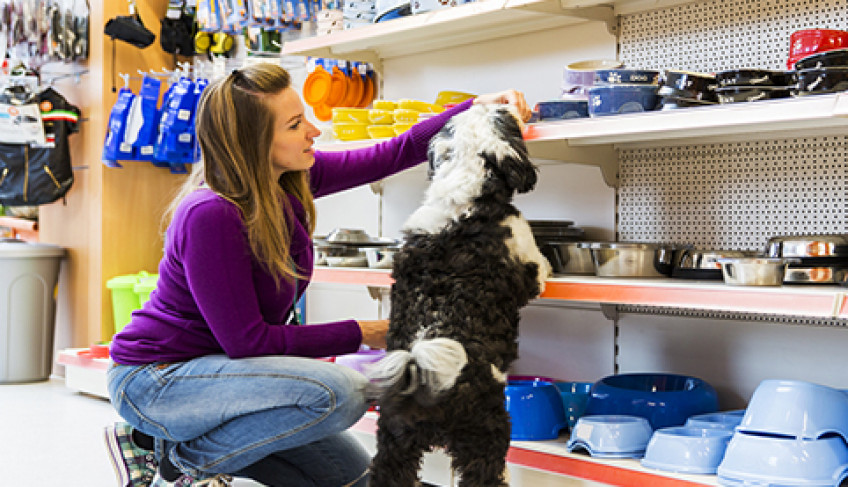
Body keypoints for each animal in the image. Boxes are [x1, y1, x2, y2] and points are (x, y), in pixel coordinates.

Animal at [366, 104, 552, 487]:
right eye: (506, 118)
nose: (509, 103)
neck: (463, 196)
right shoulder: (525, 258)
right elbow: (539, 267)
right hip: (485, 430)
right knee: (486, 472)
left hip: (394, 439)